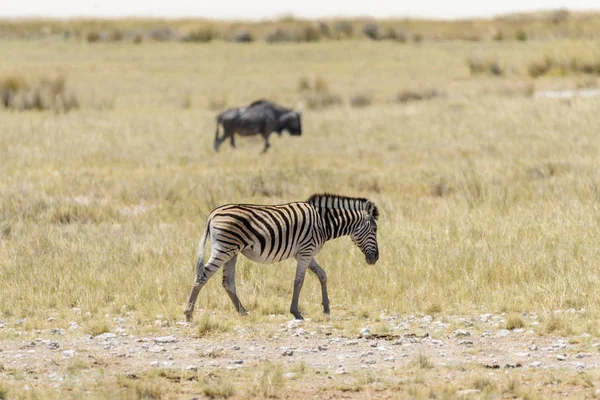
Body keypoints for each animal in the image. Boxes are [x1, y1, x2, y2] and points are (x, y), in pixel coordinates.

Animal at [184, 192, 380, 320]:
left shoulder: (303, 253)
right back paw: (188, 313)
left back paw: (243, 312)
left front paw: (326, 308)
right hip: (224, 248)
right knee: (203, 275)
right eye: (375, 229)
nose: (376, 258)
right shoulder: (305, 251)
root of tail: (212, 214)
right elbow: (299, 281)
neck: (324, 223)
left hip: (231, 251)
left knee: (228, 282)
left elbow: (323, 275)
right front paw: (296, 312)